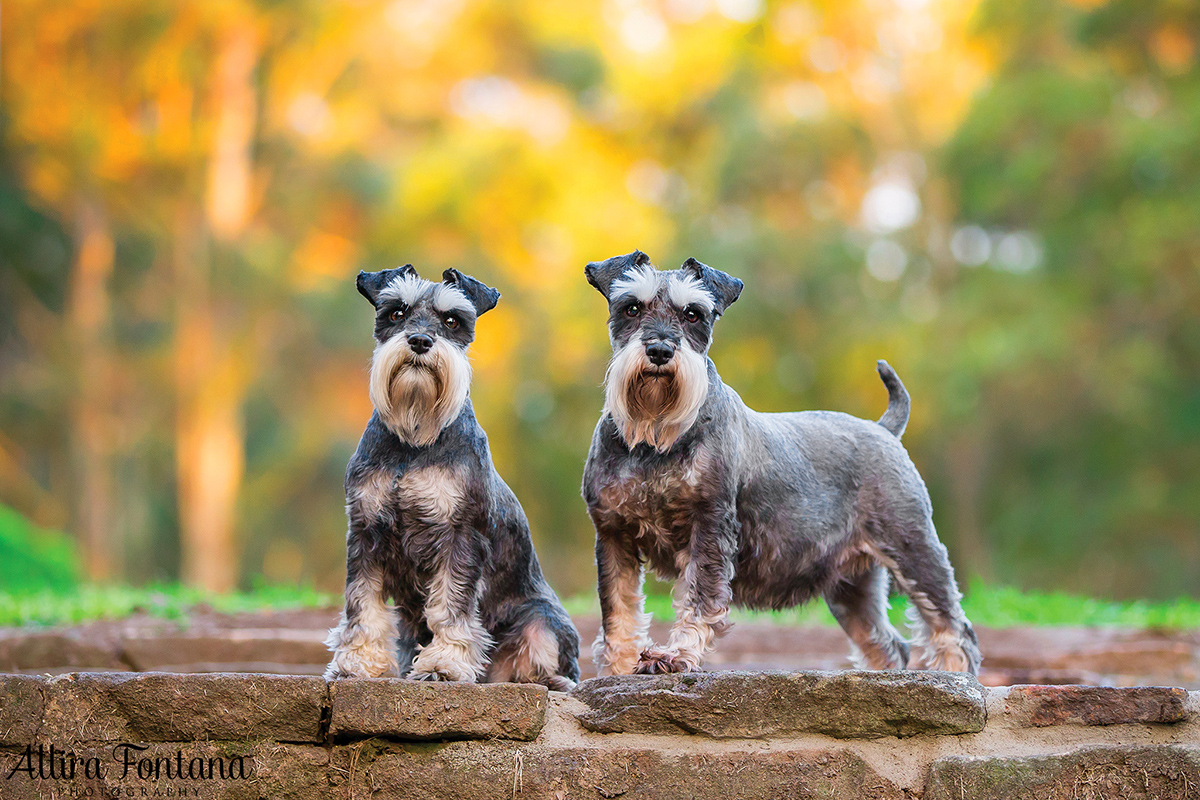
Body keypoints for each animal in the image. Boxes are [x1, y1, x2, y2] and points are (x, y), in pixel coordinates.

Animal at [324, 263, 576, 690]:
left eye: (452, 320)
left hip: (540, 622)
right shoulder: (365, 531)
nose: (420, 341)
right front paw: (355, 664)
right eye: (396, 312)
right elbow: (362, 605)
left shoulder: (460, 535)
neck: (413, 438)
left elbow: (450, 606)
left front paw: (444, 665)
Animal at [580, 250, 984, 676]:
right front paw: (617, 668)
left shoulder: (710, 526)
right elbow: (617, 608)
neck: (654, 438)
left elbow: (700, 597)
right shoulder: (613, 533)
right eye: (631, 307)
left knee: (951, 625)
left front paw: (676, 654)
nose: (660, 350)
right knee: (888, 644)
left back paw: (954, 674)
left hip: (914, 549)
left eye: (693, 314)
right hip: (852, 587)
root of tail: (884, 430)